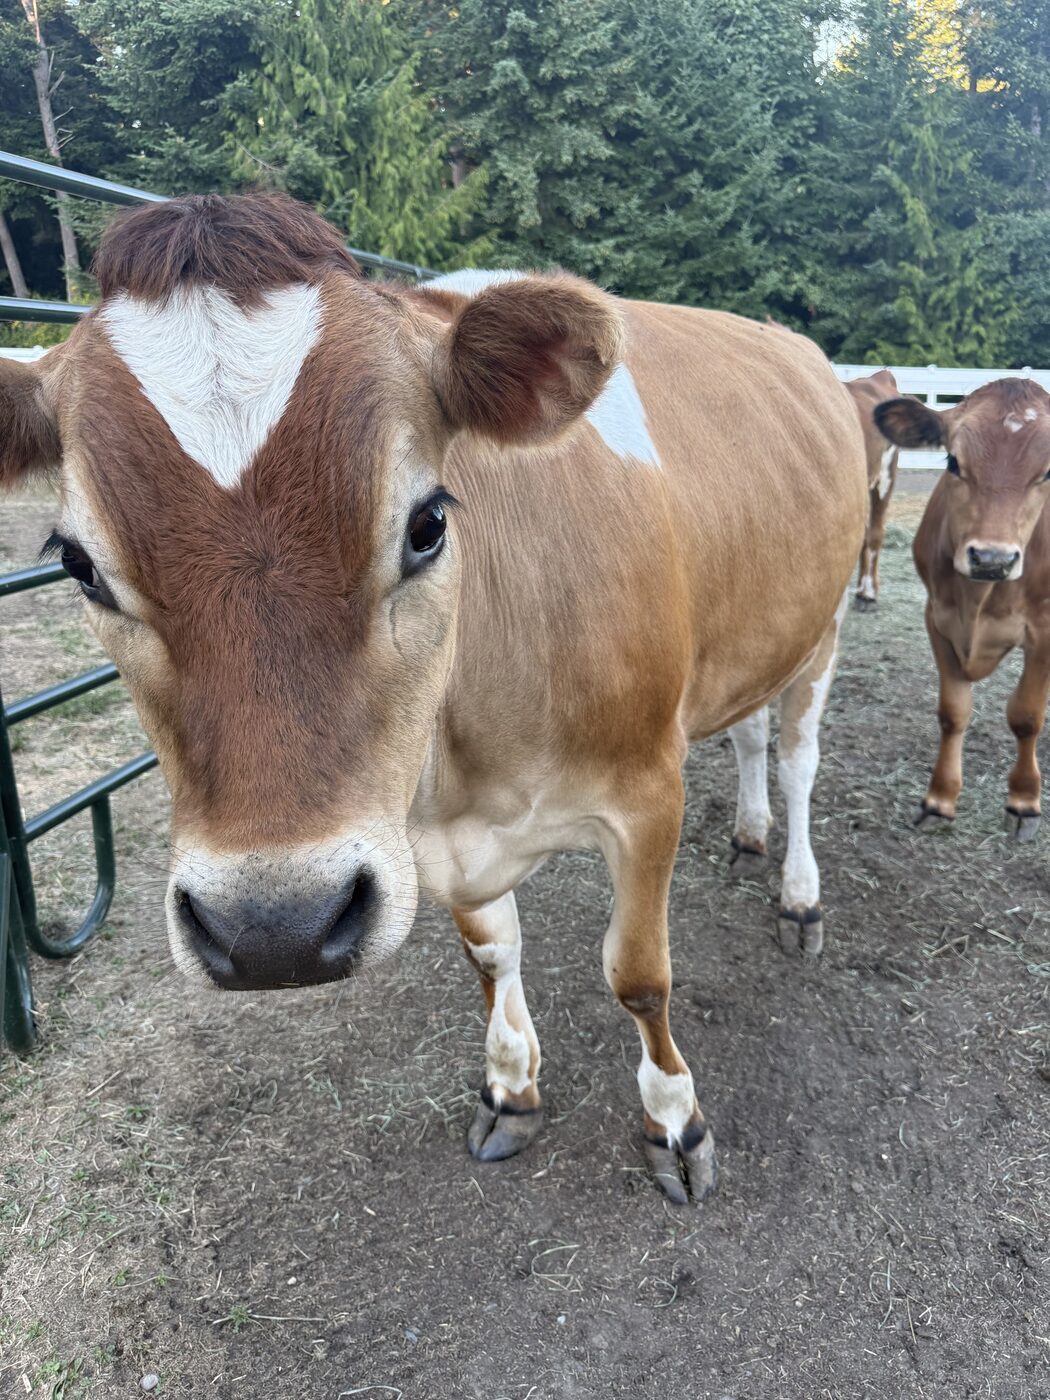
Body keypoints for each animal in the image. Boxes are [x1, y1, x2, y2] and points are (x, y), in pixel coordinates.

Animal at [0, 194, 867, 1203]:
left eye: (426, 524)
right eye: (78, 565)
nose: (272, 928)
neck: (466, 762)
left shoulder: (650, 790)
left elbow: (639, 975)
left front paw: (675, 1122)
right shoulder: (428, 835)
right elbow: (491, 954)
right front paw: (511, 1087)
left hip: (823, 625)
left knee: (800, 757)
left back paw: (799, 893)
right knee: (751, 734)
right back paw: (752, 830)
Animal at [875, 378, 1050, 838]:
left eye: (1047, 472)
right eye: (953, 461)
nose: (992, 558)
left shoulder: (1044, 631)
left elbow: (1027, 715)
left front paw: (1023, 800)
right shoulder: (938, 618)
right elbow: (953, 713)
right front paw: (940, 799)